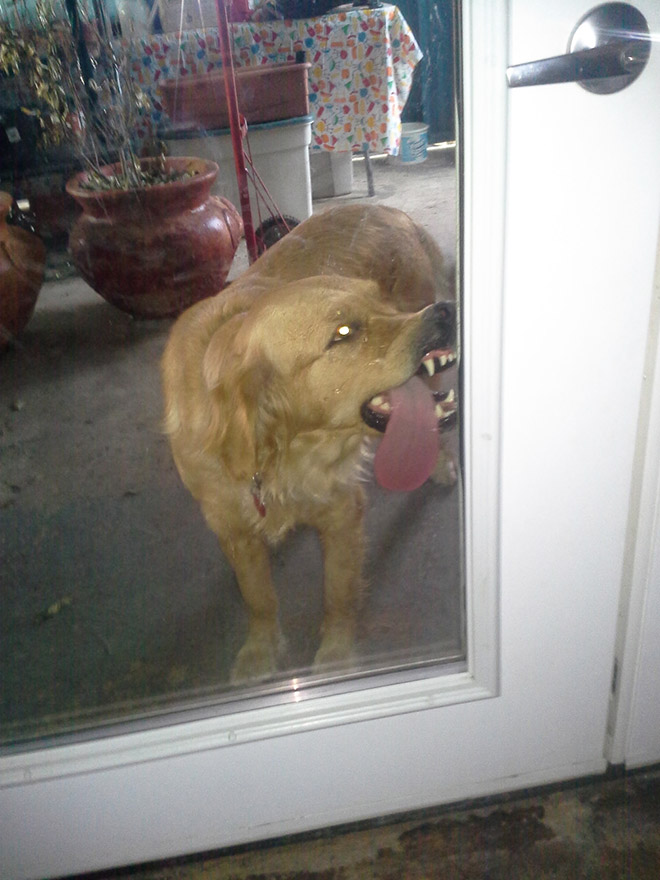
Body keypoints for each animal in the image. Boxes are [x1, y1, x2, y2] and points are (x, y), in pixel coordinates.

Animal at [162, 205, 456, 680]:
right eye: (344, 332)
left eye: (381, 301)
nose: (446, 313)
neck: (279, 449)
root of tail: (391, 211)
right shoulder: (231, 526)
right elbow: (258, 598)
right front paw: (260, 650)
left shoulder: (341, 512)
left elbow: (338, 594)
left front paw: (336, 655)